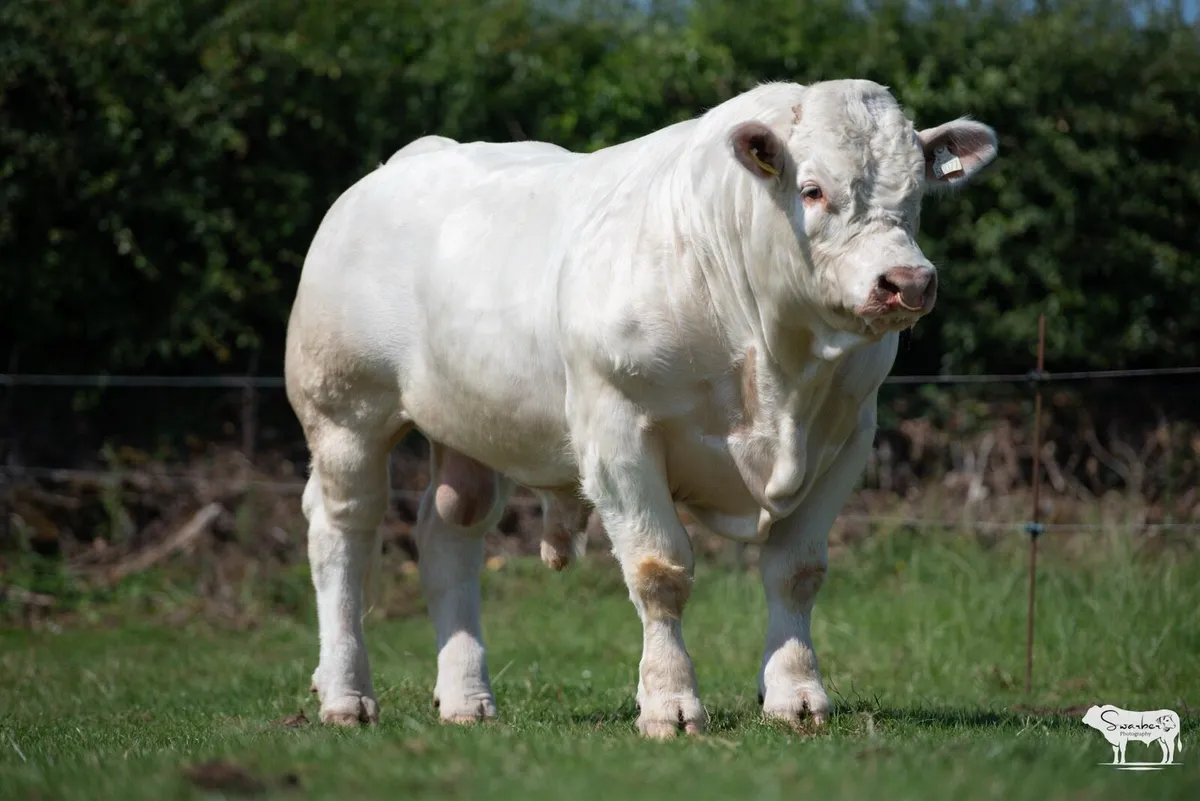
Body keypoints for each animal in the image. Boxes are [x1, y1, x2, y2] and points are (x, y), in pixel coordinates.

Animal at [283, 78, 999, 737]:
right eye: (814, 190)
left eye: (918, 194)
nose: (907, 282)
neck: (777, 368)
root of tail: (403, 162)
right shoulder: (618, 430)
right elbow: (660, 571)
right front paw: (670, 704)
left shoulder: (847, 437)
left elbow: (797, 571)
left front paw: (797, 696)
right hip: (344, 411)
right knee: (342, 534)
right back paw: (345, 693)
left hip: (466, 426)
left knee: (449, 534)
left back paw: (466, 699)